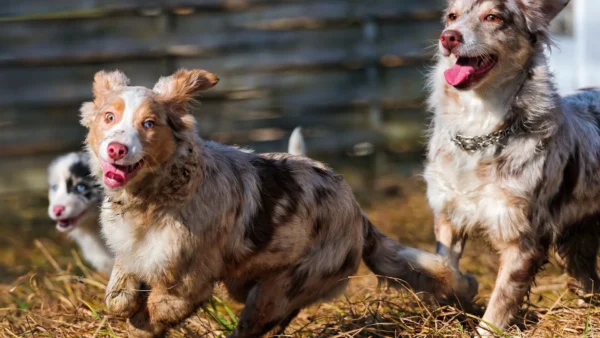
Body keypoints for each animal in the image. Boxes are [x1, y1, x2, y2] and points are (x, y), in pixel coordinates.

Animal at [79, 69, 476, 338]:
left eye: (149, 123)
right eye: (109, 117)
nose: (116, 149)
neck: (159, 195)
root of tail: (359, 214)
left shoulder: (192, 274)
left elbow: (162, 306)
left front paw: (146, 319)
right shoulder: (132, 251)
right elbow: (118, 297)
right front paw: (130, 309)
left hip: (278, 287)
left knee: (259, 319)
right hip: (250, 281)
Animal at [424, 0, 600, 334]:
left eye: (493, 17)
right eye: (452, 16)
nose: (448, 37)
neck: (481, 128)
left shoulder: (522, 240)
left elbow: (497, 308)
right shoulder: (448, 216)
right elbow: (445, 269)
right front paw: (460, 286)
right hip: (572, 244)